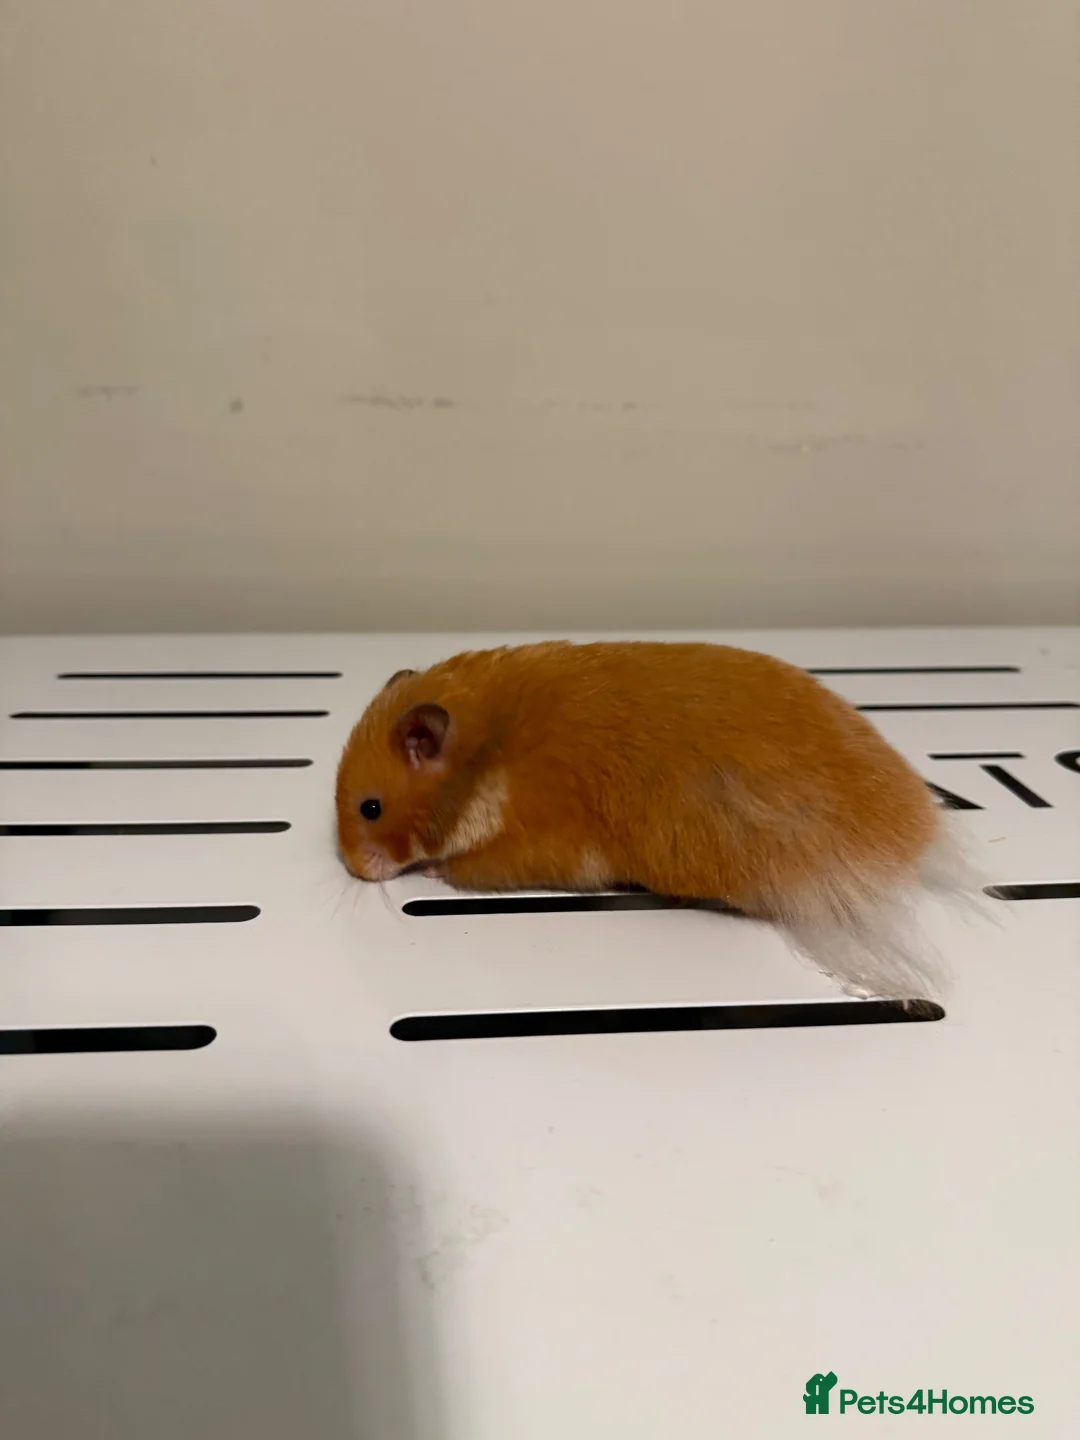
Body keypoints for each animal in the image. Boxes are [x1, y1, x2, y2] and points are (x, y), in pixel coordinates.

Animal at [335, 640, 971, 1002]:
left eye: (371, 807)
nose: (354, 869)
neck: (484, 754)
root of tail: (919, 840)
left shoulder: (541, 845)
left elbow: (470, 867)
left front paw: (435, 873)